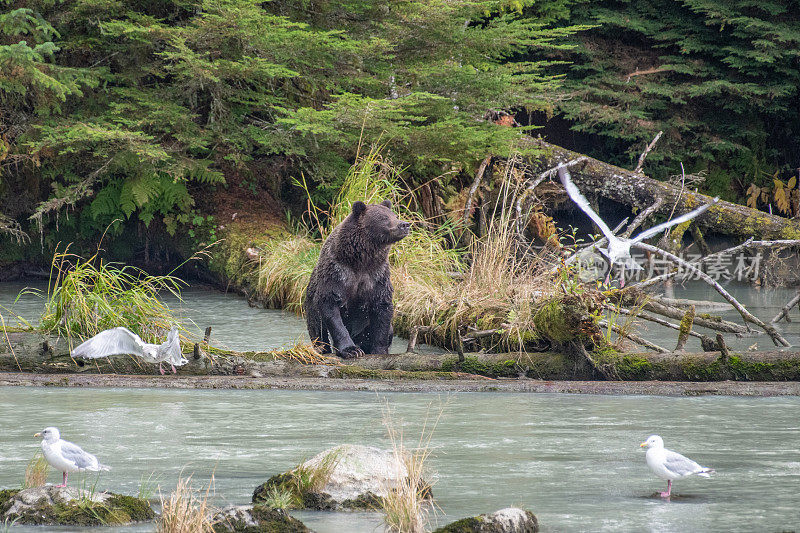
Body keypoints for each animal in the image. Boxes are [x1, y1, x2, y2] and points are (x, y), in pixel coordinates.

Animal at [302, 200, 410, 358]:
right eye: (384, 217)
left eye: (395, 215)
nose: (405, 224)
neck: (360, 260)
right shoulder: (338, 273)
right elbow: (330, 307)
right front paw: (351, 350)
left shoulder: (377, 276)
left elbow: (382, 311)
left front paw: (379, 350)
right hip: (311, 310)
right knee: (318, 332)